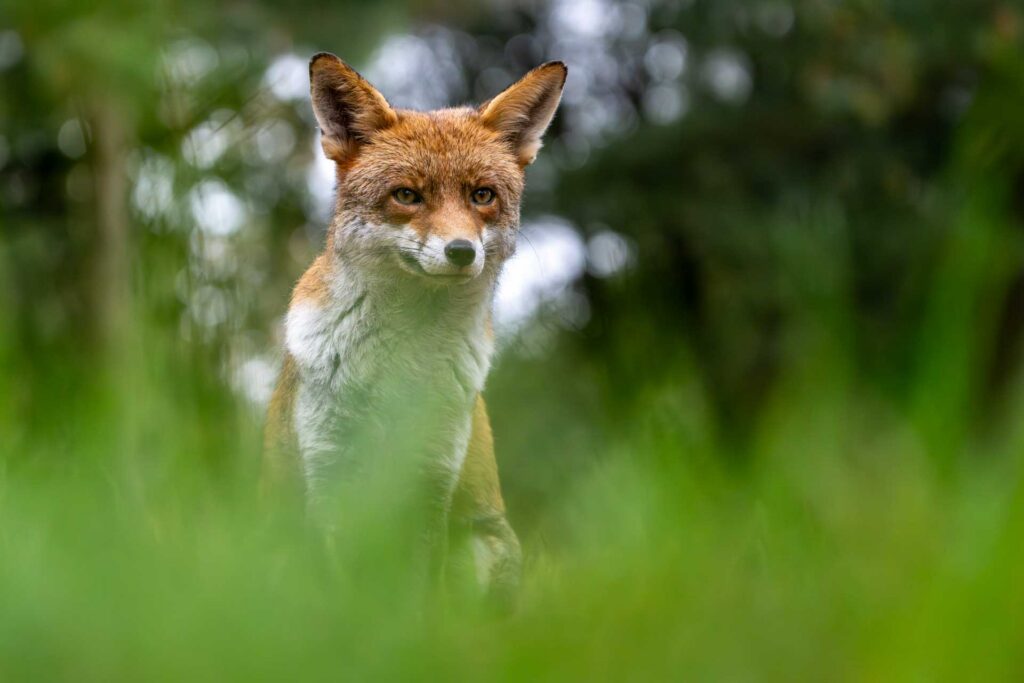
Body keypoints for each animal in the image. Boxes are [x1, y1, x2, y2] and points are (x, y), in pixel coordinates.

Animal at [263, 52, 566, 608]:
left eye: (482, 195)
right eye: (407, 195)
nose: (461, 251)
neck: (398, 369)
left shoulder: (431, 477)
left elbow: (417, 600)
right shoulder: (329, 473)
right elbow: (345, 598)